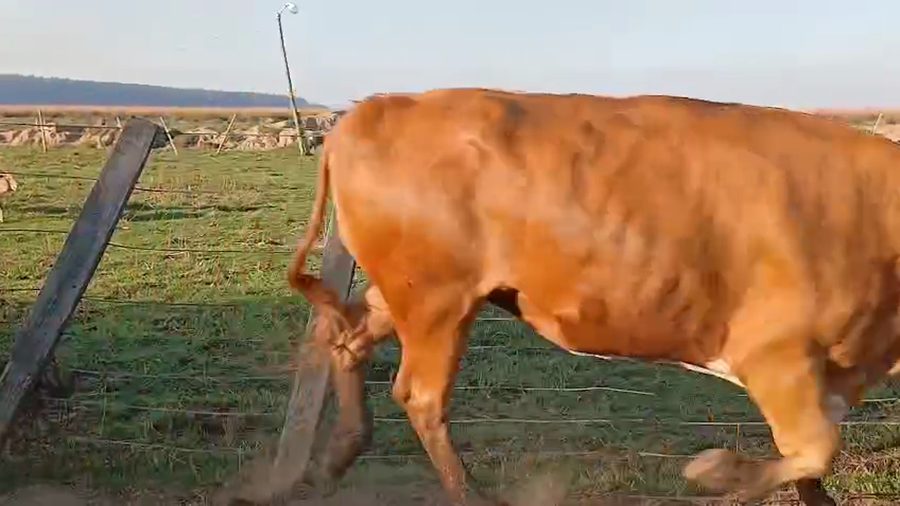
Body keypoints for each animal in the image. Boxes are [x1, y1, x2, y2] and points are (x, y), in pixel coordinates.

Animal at [286, 87, 900, 506]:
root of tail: (376, 107)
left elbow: (812, 462)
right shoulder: (776, 351)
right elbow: (815, 448)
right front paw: (716, 472)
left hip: (405, 295)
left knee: (349, 343)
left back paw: (333, 460)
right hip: (438, 300)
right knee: (420, 397)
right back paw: (468, 495)